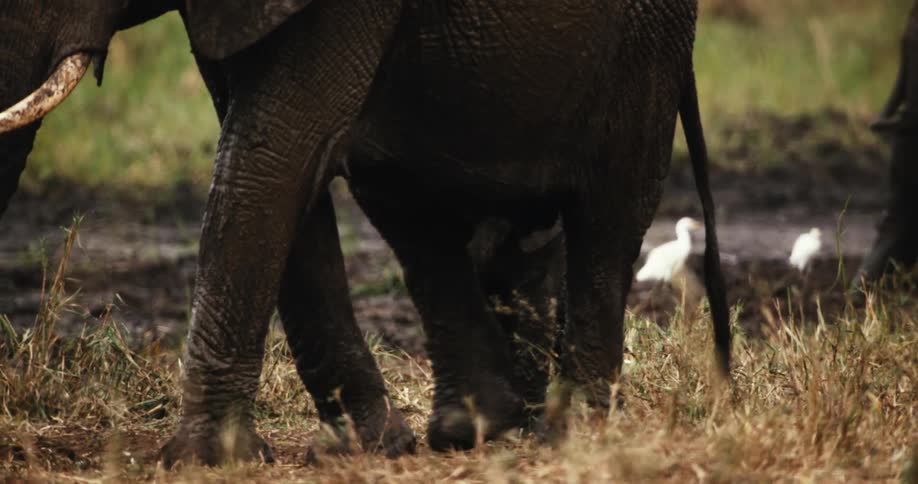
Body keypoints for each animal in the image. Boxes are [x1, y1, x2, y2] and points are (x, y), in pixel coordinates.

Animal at [0, 0, 733, 465]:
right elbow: (273, 165)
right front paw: (364, 447)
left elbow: (269, 160)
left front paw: (206, 459)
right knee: (426, 220)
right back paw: (476, 428)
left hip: (645, 51)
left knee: (606, 219)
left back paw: (566, 432)